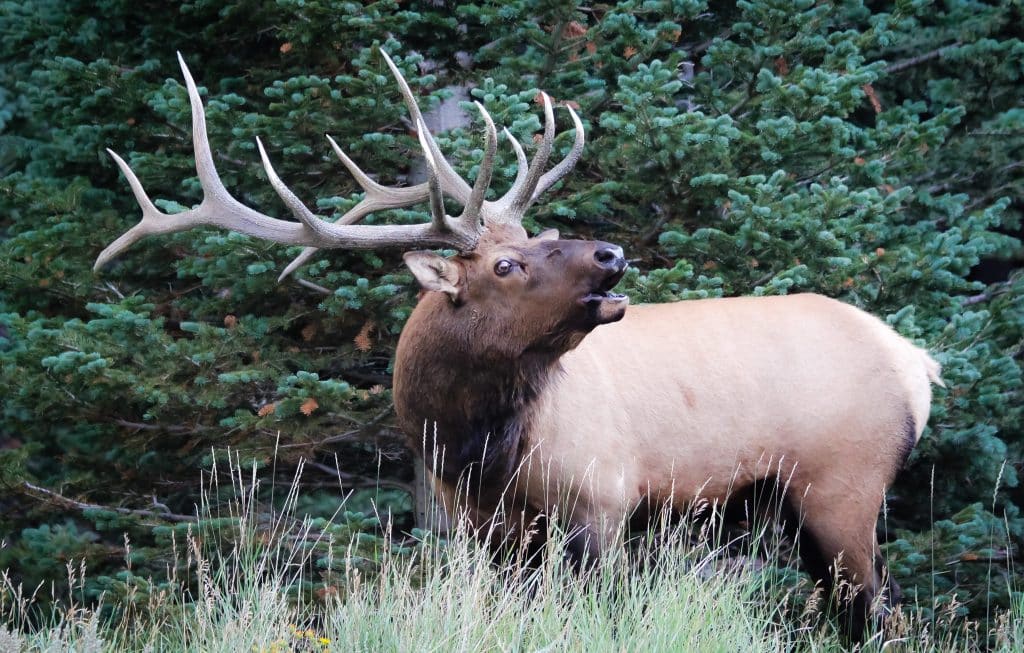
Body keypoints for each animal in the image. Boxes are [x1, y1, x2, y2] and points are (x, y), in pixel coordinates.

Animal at [97, 51, 942, 638]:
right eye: (508, 262)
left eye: (536, 234)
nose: (610, 252)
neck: (477, 442)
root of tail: (917, 363)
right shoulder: (483, 527)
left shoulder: (604, 497)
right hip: (798, 501)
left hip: (845, 481)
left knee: (876, 607)